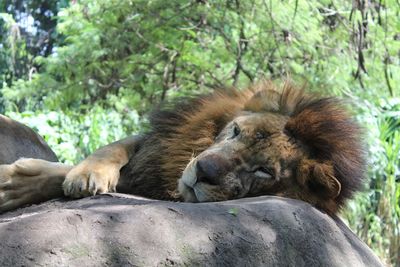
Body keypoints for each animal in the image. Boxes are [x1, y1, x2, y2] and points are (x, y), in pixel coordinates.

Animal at [0, 82, 366, 216]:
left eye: (263, 171)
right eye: (236, 131)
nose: (203, 172)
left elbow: (54, 173)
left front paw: (12, 186)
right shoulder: (156, 148)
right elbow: (110, 149)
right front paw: (87, 173)